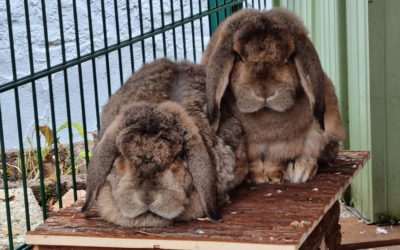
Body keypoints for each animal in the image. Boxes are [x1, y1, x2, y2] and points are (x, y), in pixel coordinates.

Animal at [202, 8, 346, 184]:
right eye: (238, 57)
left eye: (289, 57)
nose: (265, 92)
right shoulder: (250, 147)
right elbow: (255, 162)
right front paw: (257, 177)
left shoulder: (284, 144)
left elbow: (275, 159)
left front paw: (274, 176)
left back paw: (302, 168)